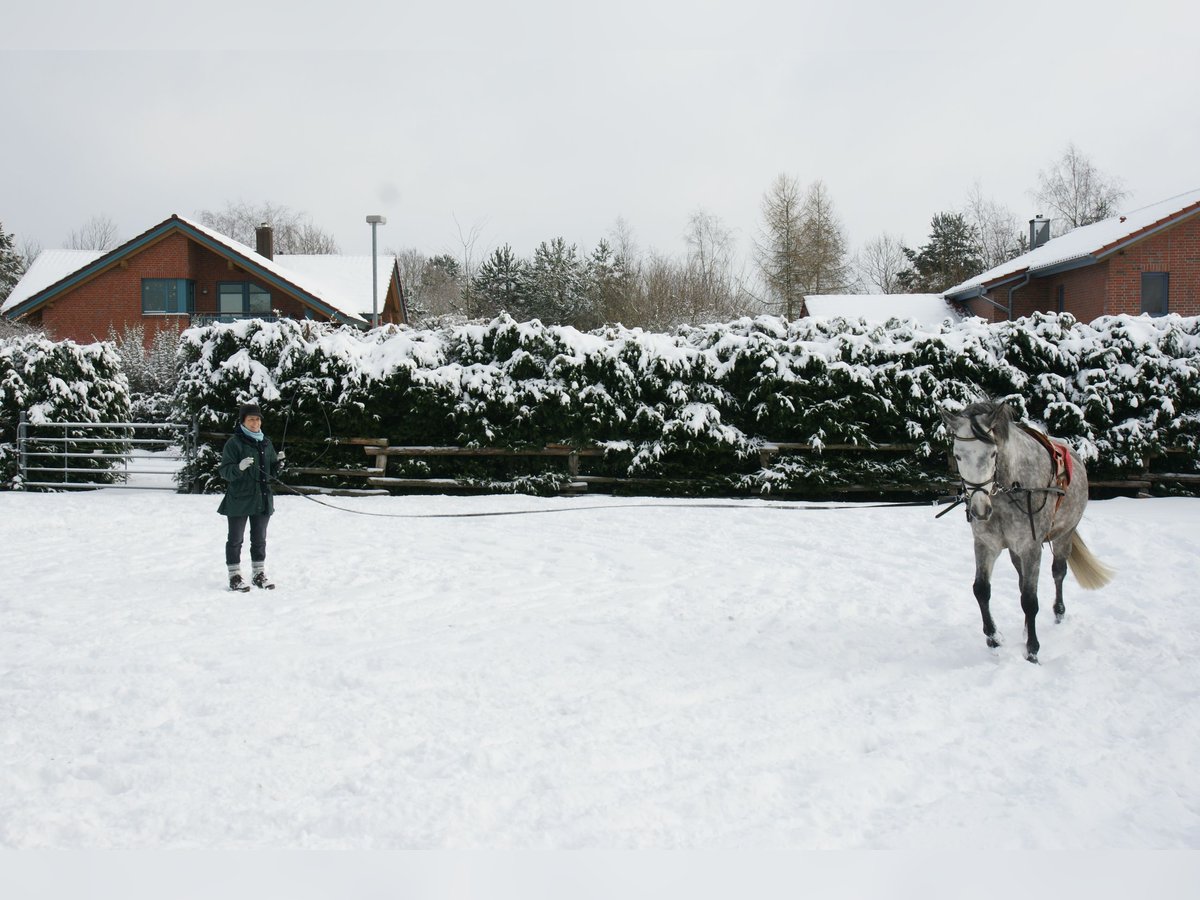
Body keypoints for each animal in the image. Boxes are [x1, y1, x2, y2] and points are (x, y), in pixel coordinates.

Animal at [940, 400, 1108, 662]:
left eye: (993, 453)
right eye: (958, 455)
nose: (979, 510)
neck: (1010, 490)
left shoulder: (1031, 548)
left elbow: (1030, 601)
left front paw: (1032, 650)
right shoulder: (986, 544)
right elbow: (982, 590)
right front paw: (993, 638)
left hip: (1064, 535)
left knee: (1058, 573)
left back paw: (1058, 613)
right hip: (1015, 551)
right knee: (1021, 582)